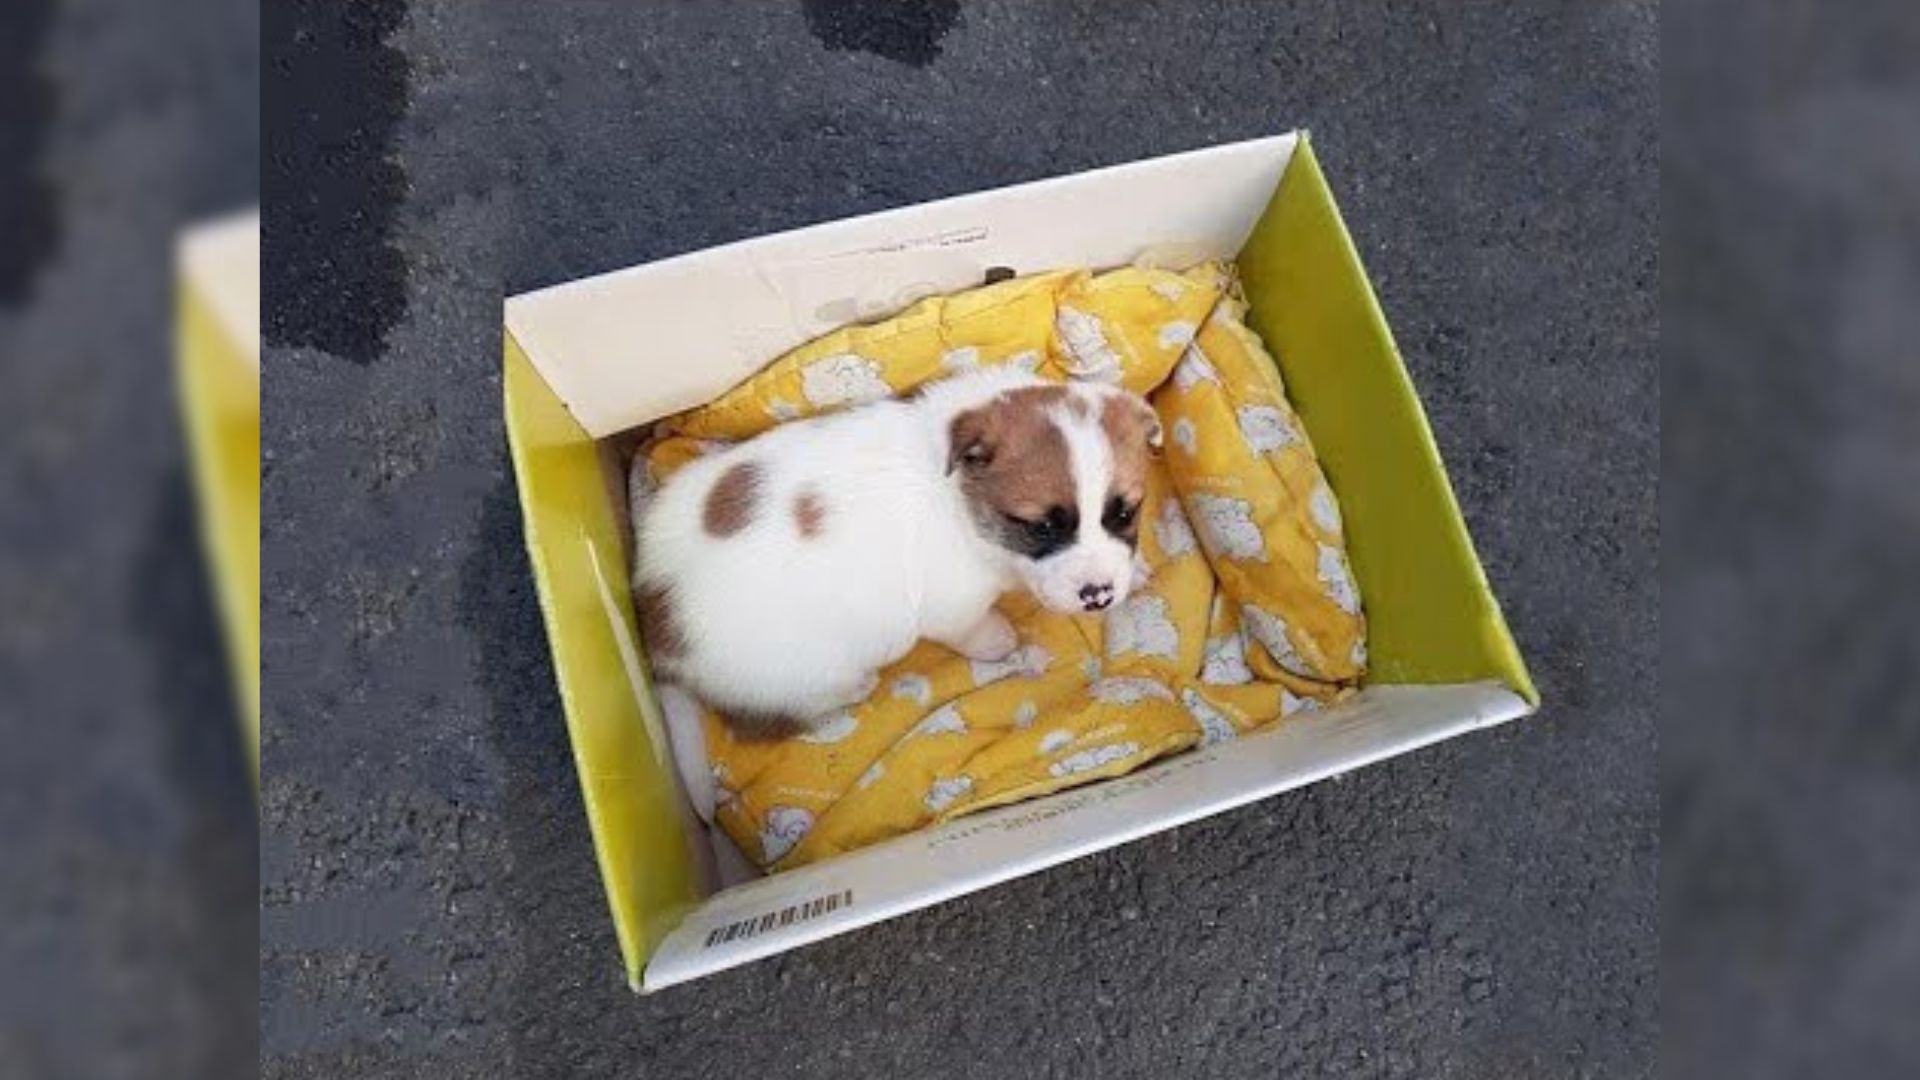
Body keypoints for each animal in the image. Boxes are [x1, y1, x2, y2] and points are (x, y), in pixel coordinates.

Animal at [637, 365, 1159, 734]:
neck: (959, 497)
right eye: (1041, 526)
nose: (1098, 596)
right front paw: (999, 643)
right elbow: (973, 630)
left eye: (1124, 514)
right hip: (806, 675)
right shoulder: (952, 608)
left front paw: (1135, 569)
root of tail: (655, 618)